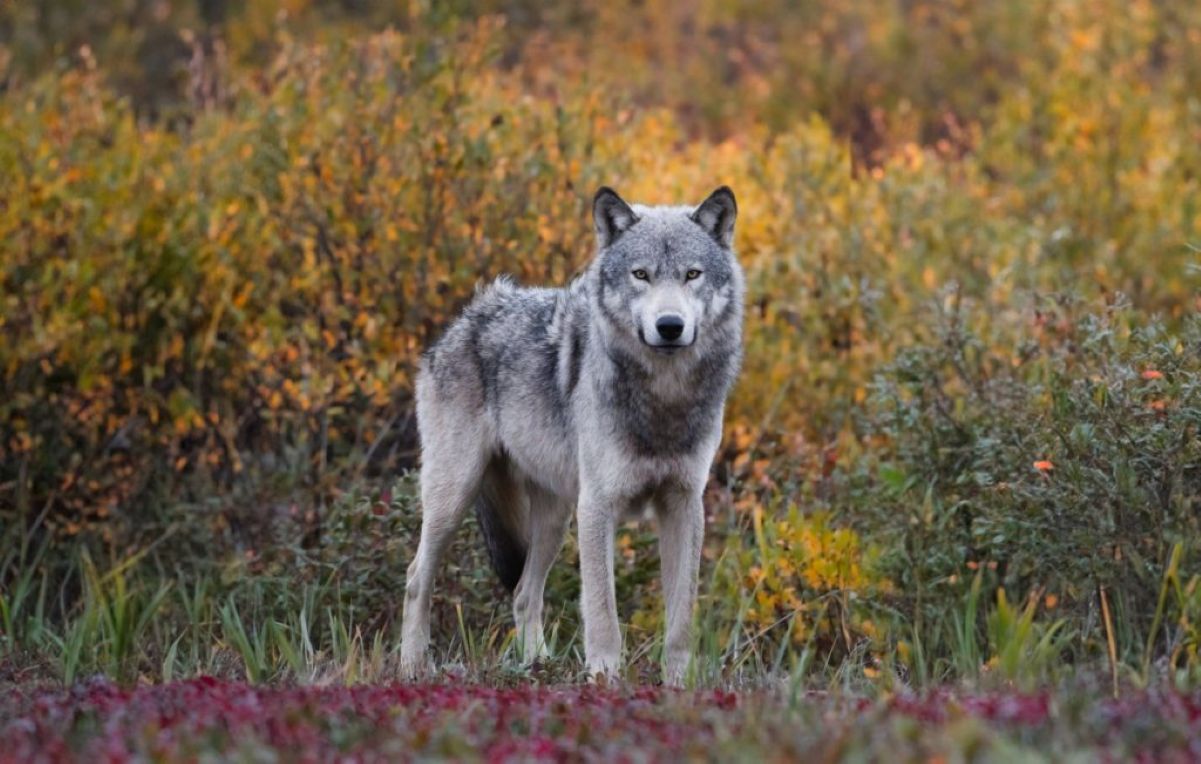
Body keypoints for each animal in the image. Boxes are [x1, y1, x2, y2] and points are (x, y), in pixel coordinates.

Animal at [399, 186, 743, 684]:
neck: (663, 399)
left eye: (692, 274)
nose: (670, 326)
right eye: (641, 275)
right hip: (454, 498)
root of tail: (464, 318)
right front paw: (604, 681)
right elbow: (603, 613)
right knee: (414, 579)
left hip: (555, 519)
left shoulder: (684, 504)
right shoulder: (598, 506)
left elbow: (681, 617)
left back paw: (536, 665)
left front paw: (680, 685)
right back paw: (412, 666)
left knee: (524, 593)